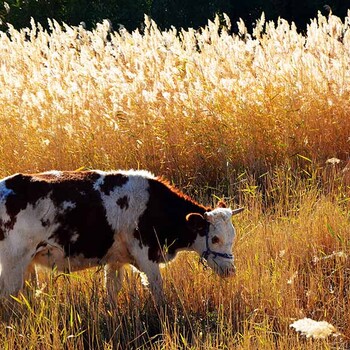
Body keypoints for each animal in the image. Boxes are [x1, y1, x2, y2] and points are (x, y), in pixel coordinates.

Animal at [0, 170, 243, 304]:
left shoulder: (115, 260)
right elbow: (157, 289)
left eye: (232, 237)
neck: (153, 205)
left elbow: (112, 291)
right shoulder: (147, 256)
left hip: (26, 264)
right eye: (215, 239)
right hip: (13, 262)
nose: (231, 271)